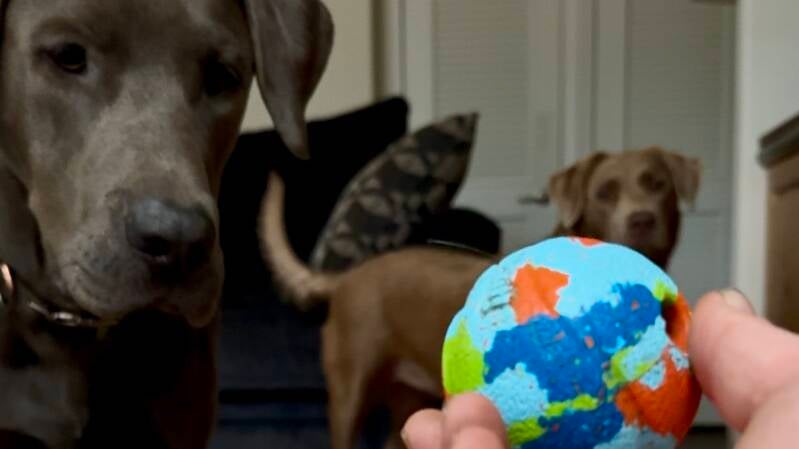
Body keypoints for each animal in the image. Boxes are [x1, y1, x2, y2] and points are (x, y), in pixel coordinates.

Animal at [259, 147, 701, 449]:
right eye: (604, 193)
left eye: (657, 184)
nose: (642, 219)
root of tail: (348, 276)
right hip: (350, 391)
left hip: (408, 397)